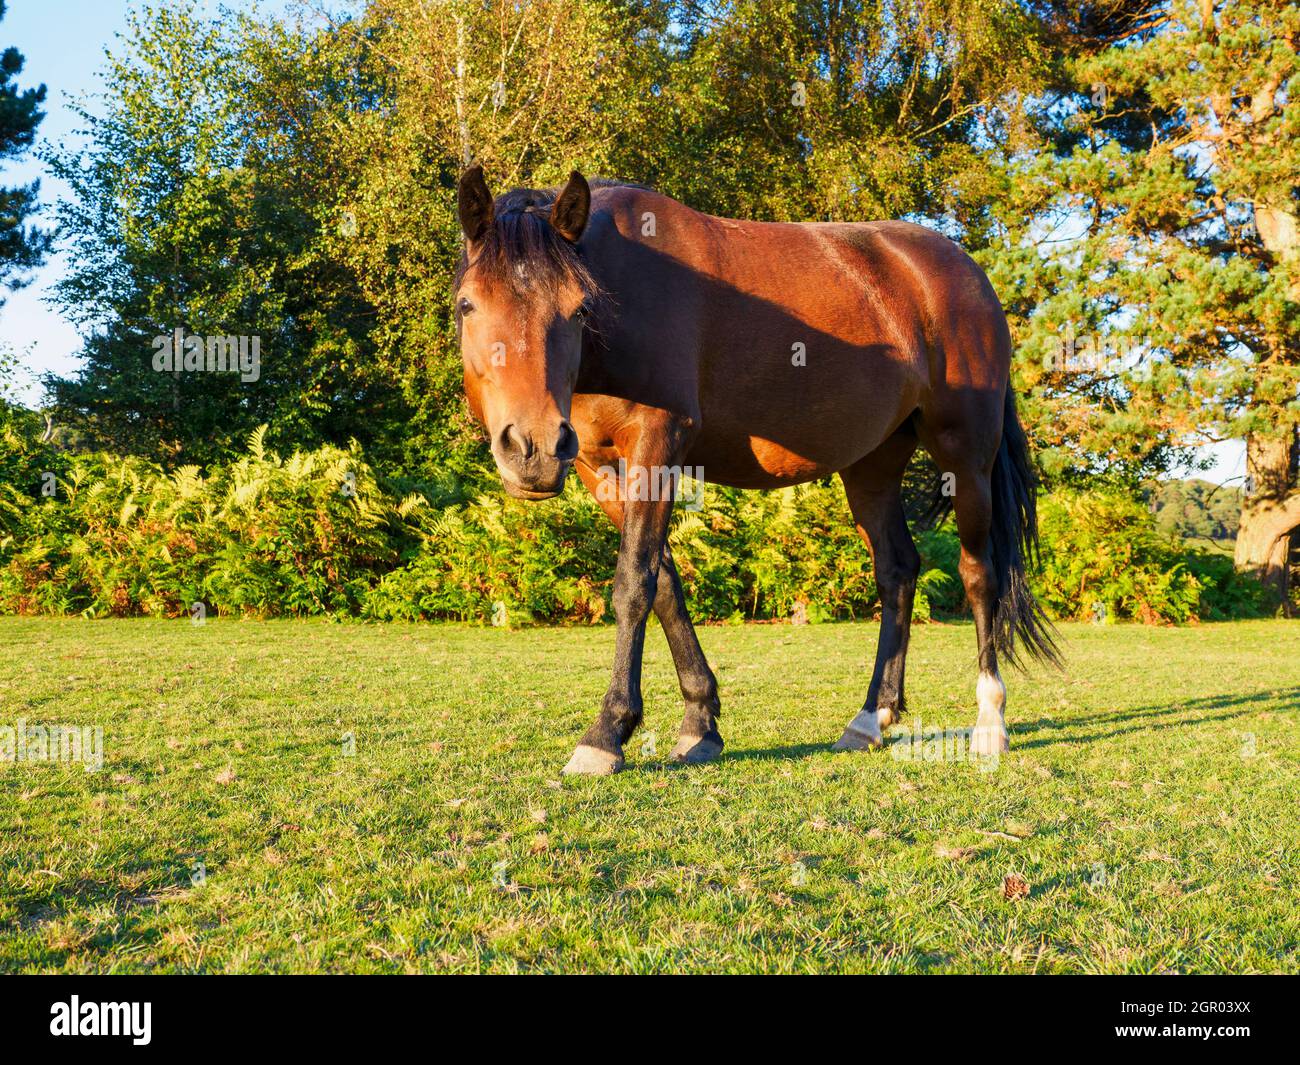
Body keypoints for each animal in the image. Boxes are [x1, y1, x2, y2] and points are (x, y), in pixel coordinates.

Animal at [449, 169, 1055, 785]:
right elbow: (665, 585)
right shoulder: (600, 468)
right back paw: (870, 718)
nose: (532, 449)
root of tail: (967, 272)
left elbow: (633, 584)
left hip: (966, 456)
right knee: (897, 570)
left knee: (978, 574)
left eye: (577, 309)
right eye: (467, 305)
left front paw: (607, 733)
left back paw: (989, 723)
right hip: (874, 464)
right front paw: (699, 722)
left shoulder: (658, 445)